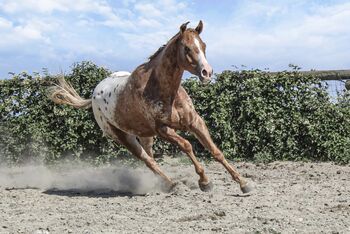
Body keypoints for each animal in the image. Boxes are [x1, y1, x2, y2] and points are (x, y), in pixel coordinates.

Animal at [48, 21, 252, 194]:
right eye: (186, 47)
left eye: (203, 45)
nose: (207, 73)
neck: (165, 91)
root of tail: (92, 97)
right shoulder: (162, 129)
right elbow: (187, 146)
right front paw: (205, 182)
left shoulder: (194, 122)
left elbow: (215, 151)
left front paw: (243, 184)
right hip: (123, 137)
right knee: (148, 161)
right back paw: (171, 185)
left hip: (145, 136)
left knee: (151, 157)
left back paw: (164, 184)